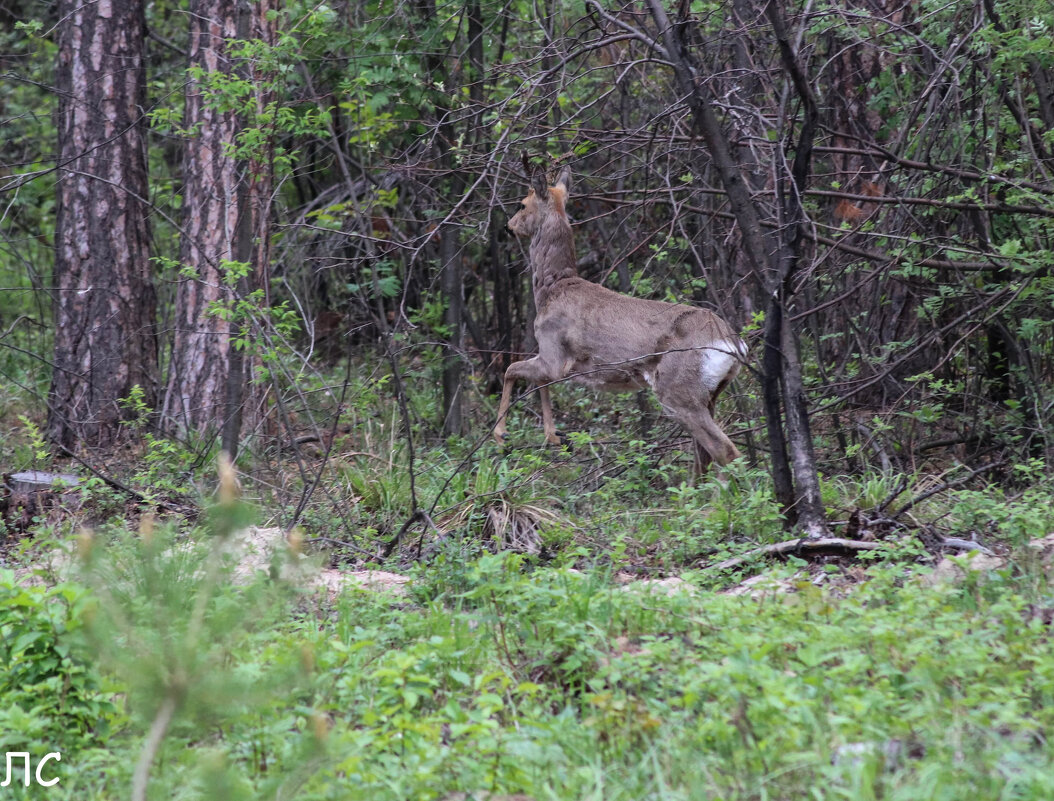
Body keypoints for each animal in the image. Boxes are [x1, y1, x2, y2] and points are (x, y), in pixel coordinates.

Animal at [495, 163, 750, 476]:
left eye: (522, 204)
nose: (508, 226)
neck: (554, 288)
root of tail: (733, 343)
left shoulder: (553, 354)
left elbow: (512, 370)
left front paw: (503, 436)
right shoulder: (553, 360)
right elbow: (536, 382)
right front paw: (555, 436)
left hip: (678, 391)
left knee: (725, 451)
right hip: (710, 394)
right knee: (704, 456)